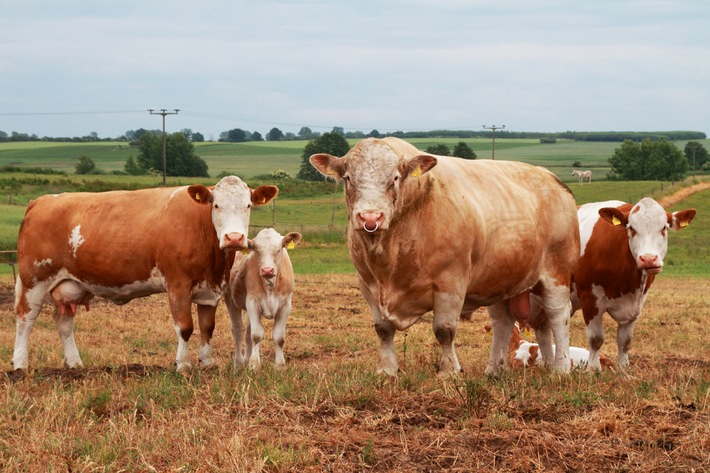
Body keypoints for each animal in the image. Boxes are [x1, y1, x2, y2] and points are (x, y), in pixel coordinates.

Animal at [11, 175, 278, 370]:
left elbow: (206, 327)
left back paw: (75, 365)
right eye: (216, 205)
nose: (234, 237)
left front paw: (207, 363)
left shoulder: (209, 289)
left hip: (70, 284)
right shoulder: (177, 284)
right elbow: (185, 327)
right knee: (26, 318)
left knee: (64, 322)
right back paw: (20, 365)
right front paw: (183, 365)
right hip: (34, 279)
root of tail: (41, 201)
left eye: (248, 205)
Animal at [225, 227, 304, 366]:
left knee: (247, 333)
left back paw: (246, 359)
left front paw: (280, 365)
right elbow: (256, 335)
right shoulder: (252, 302)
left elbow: (279, 337)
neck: (270, 286)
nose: (267, 270)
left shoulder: (286, 305)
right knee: (238, 330)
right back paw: (239, 363)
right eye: (257, 250)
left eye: (279, 250)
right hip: (230, 300)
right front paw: (254, 364)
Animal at [308, 137, 580, 376]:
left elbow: (444, 330)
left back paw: (560, 367)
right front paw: (387, 370)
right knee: (504, 323)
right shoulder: (369, 285)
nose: (370, 218)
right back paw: (494, 370)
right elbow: (383, 330)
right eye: (348, 178)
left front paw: (449, 371)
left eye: (395, 178)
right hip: (501, 278)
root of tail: (553, 179)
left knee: (558, 316)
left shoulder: (451, 283)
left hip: (556, 272)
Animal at [572, 197, 696, 370]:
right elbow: (596, 339)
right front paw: (593, 370)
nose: (648, 259)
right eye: (631, 228)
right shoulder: (589, 298)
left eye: (664, 227)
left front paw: (623, 370)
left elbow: (625, 341)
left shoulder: (636, 305)